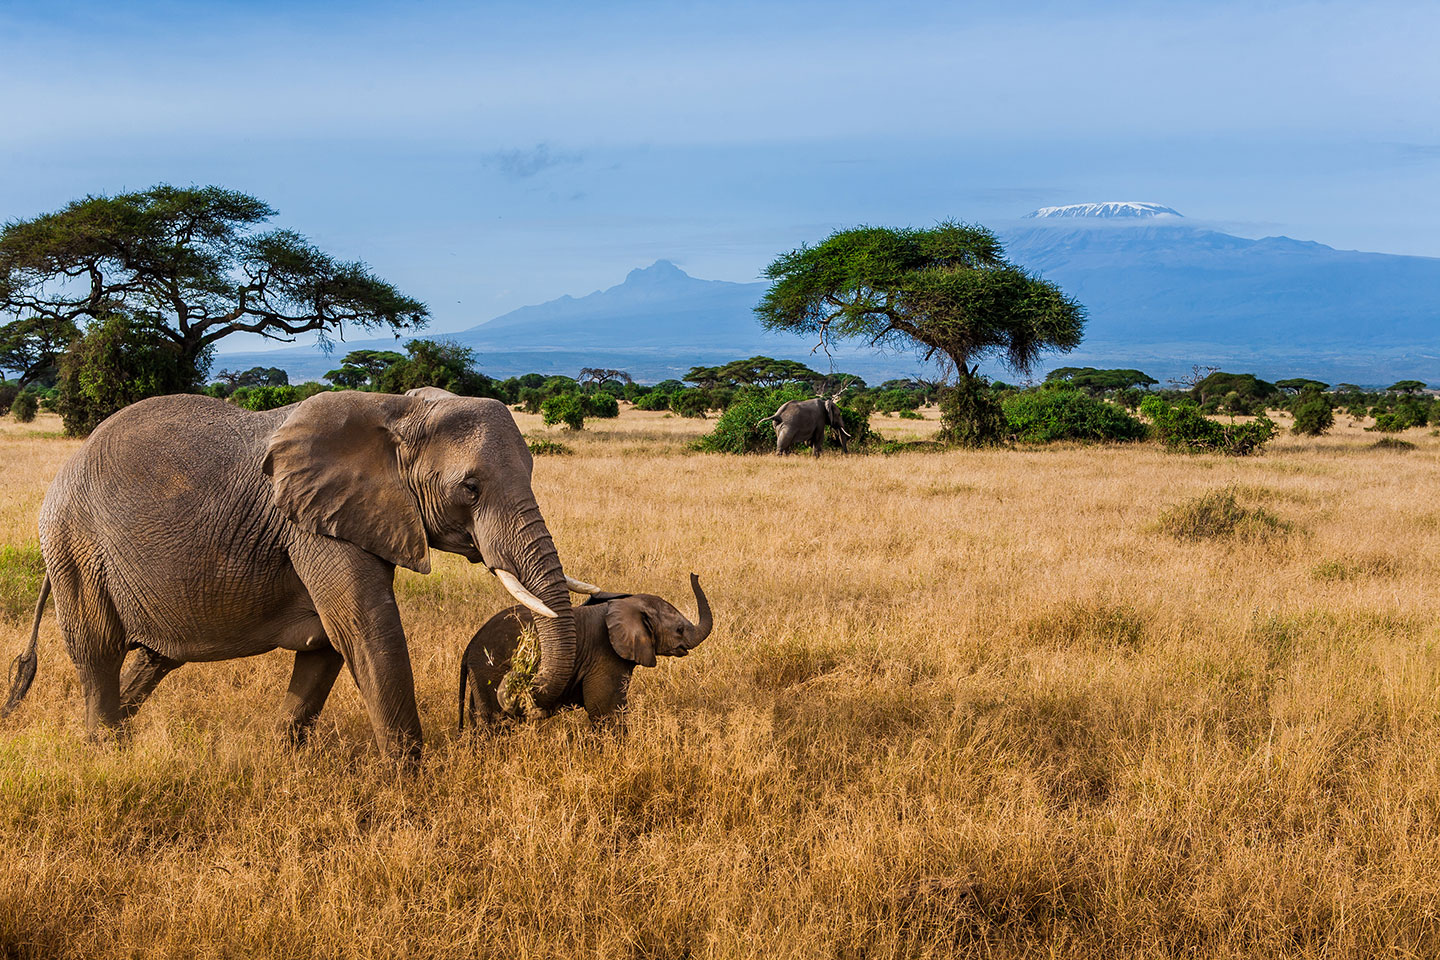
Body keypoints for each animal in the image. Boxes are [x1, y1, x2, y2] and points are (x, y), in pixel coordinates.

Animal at [1, 391, 590, 760]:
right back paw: (106, 754)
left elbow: (327, 644)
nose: (520, 695)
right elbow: (366, 631)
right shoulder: (311, 523)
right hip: (76, 547)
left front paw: (282, 759)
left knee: (155, 658)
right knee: (98, 650)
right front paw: (411, 786)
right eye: (470, 488)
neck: (398, 409)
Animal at [460, 574, 712, 728]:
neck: (626, 605)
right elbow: (606, 712)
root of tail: (469, 647)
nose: (695, 575)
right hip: (488, 671)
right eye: (679, 630)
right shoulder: (605, 656)